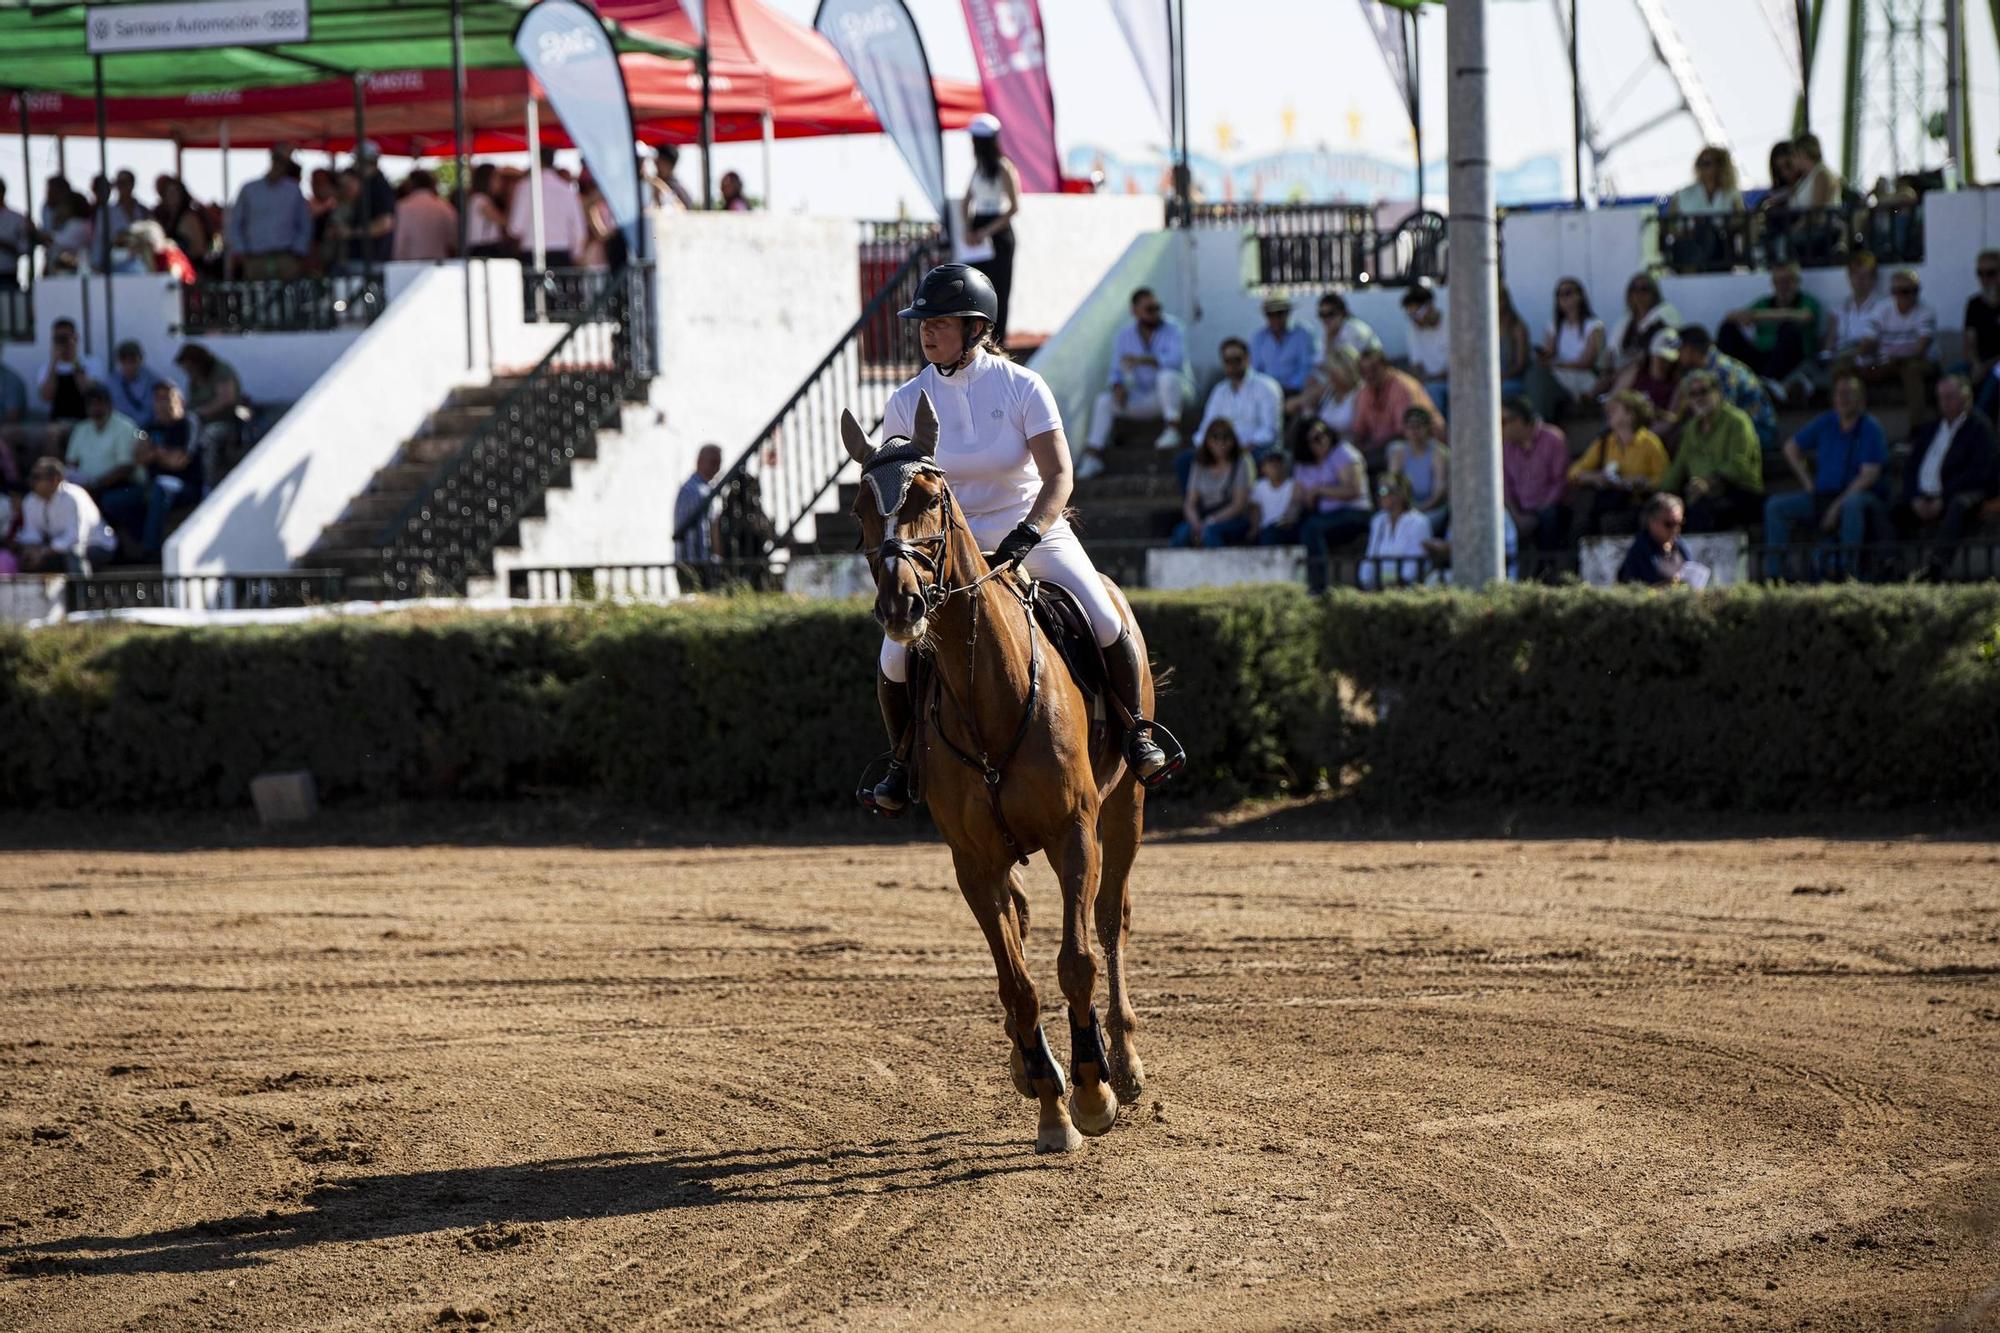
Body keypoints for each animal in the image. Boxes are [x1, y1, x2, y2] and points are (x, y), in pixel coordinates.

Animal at [844, 394, 1152, 1152]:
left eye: (932, 496)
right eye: (861, 508)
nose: (900, 606)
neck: (991, 692)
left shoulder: (1075, 833)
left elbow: (1077, 960)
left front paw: (1093, 1091)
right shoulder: (973, 860)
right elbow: (1016, 980)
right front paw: (1051, 1100)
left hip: (1125, 808)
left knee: (1112, 921)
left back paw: (1124, 1059)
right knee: (1022, 921)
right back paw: (1031, 1060)